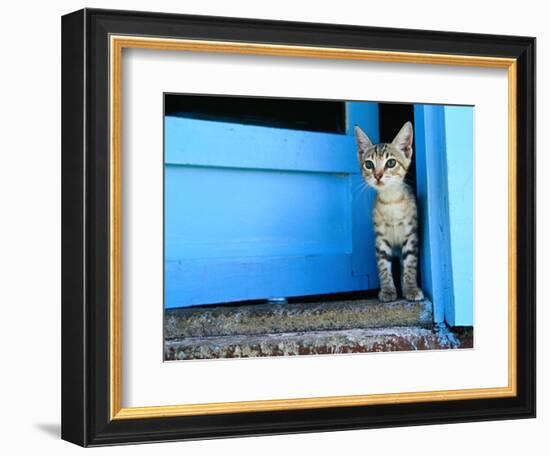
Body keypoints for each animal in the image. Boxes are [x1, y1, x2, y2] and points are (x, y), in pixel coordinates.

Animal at [356, 121, 424, 302]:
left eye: (391, 163)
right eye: (369, 164)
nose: (378, 175)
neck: (390, 201)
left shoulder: (411, 235)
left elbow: (410, 264)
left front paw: (411, 288)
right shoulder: (380, 239)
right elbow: (383, 267)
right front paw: (387, 290)